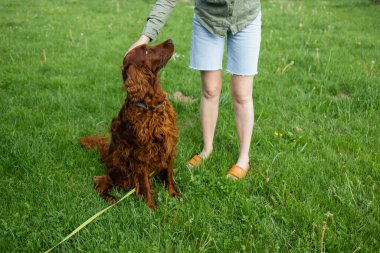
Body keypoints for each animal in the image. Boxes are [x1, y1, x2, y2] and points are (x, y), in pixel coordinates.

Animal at [79, 39, 180, 210]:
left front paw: (173, 194)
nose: (170, 40)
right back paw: (110, 199)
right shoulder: (141, 154)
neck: (150, 105)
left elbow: (169, 173)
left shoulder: (168, 142)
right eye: (146, 51)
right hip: (120, 166)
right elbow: (145, 183)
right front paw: (150, 206)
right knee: (101, 181)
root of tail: (107, 155)